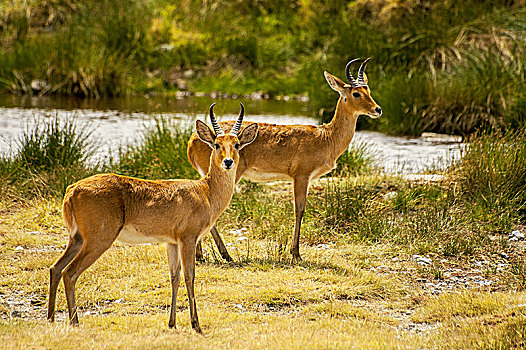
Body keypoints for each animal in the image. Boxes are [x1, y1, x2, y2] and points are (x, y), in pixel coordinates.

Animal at [48, 104, 258, 334]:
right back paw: (74, 321)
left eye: (236, 144)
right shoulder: (188, 239)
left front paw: (172, 323)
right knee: (69, 273)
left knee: (55, 268)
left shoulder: (172, 242)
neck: (205, 191)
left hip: (77, 239)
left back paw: (50, 318)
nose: (228, 162)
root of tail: (72, 190)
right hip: (97, 240)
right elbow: (190, 276)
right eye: (217, 144)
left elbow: (174, 277)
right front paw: (196, 325)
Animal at [190, 58, 384, 260]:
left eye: (368, 90)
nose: (377, 109)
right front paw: (296, 252)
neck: (326, 138)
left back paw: (201, 255)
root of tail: (193, 138)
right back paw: (224, 254)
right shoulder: (301, 175)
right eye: (356, 93)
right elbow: (299, 209)